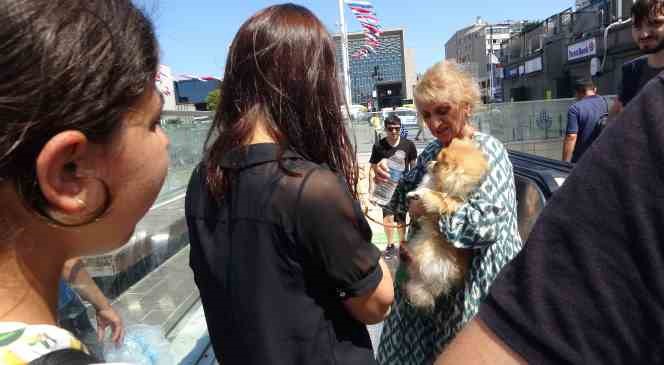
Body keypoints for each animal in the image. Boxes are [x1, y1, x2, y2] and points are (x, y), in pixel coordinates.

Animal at [402, 138, 490, 308]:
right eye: (435, 160)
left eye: (438, 163)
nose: (429, 162)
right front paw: (413, 193)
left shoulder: (450, 201)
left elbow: (435, 195)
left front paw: (421, 194)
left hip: (427, 252)